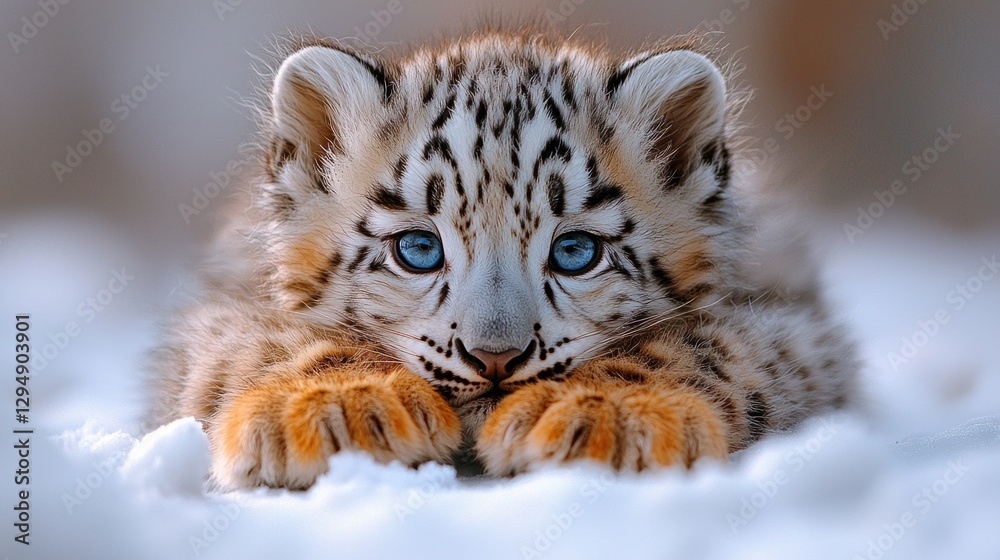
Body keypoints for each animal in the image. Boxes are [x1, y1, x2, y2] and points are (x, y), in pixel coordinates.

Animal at [147, 29, 857, 490]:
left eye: (575, 252)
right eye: (418, 249)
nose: (494, 357)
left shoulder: (795, 323)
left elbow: (706, 341)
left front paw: (605, 413)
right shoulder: (216, 312)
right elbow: (267, 340)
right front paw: (342, 407)